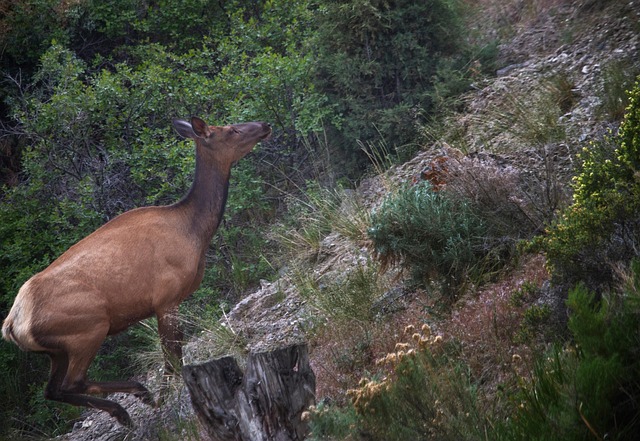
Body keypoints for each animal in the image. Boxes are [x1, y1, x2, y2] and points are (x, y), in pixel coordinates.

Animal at [2, 116, 271, 427]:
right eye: (231, 130)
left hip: (57, 350)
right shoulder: (166, 299)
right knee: (73, 382)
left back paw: (124, 409)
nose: (264, 125)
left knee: (53, 390)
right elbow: (173, 357)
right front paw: (170, 402)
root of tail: (12, 326)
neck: (195, 231)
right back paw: (137, 395)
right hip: (89, 327)